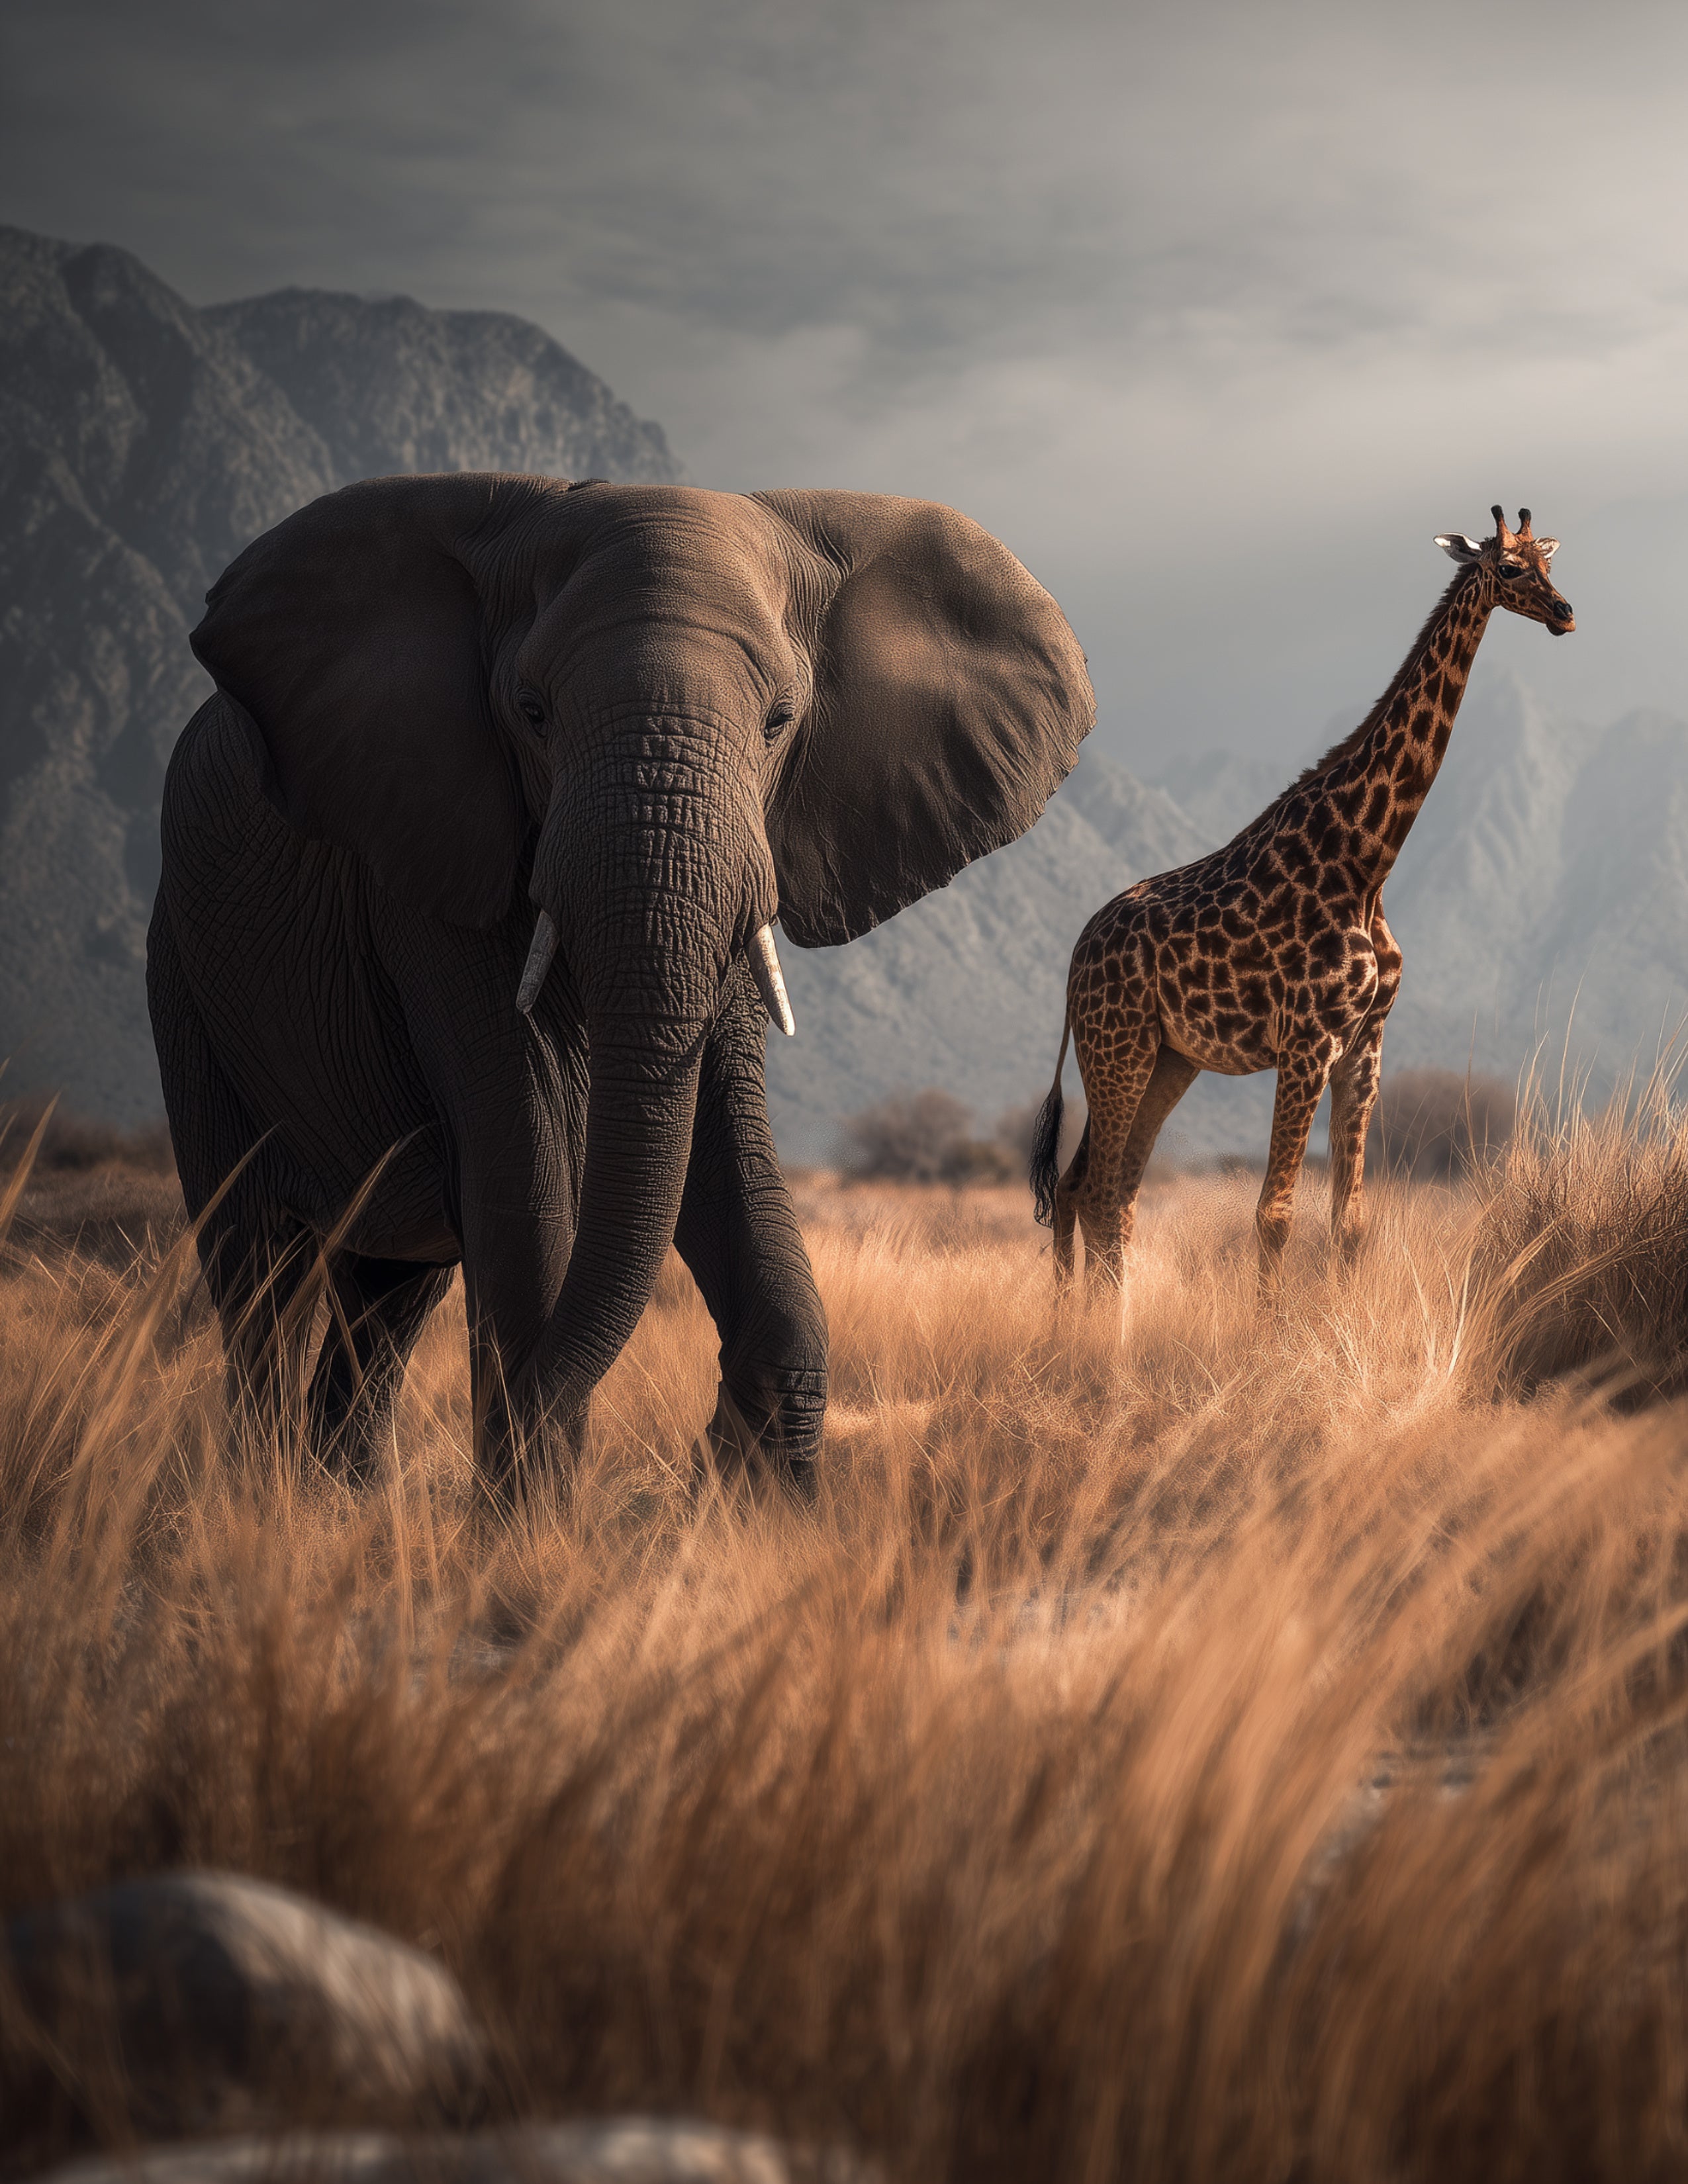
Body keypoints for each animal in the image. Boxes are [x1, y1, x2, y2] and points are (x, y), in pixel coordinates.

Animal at [147, 476, 1093, 1492]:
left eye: (779, 720)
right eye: (531, 712)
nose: (691, 1452)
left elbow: (720, 1144)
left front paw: (753, 1491)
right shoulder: (434, 869)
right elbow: (526, 1195)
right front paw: (533, 1512)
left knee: (384, 1296)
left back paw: (339, 1500)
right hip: (186, 983)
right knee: (260, 1276)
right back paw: (268, 1498)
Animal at [1029, 508, 1574, 1294]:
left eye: (1549, 562)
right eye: (1507, 568)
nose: (1565, 613)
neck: (1368, 862)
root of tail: (1075, 960)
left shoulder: (1366, 1043)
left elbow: (1351, 1222)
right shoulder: (1307, 1041)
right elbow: (1274, 1215)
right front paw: (1269, 1325)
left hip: (1168, 1060)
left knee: (1100, 1193)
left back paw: (1084, 1322)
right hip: (1116, 1050)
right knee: (1097, 1192)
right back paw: (1087, 1327)